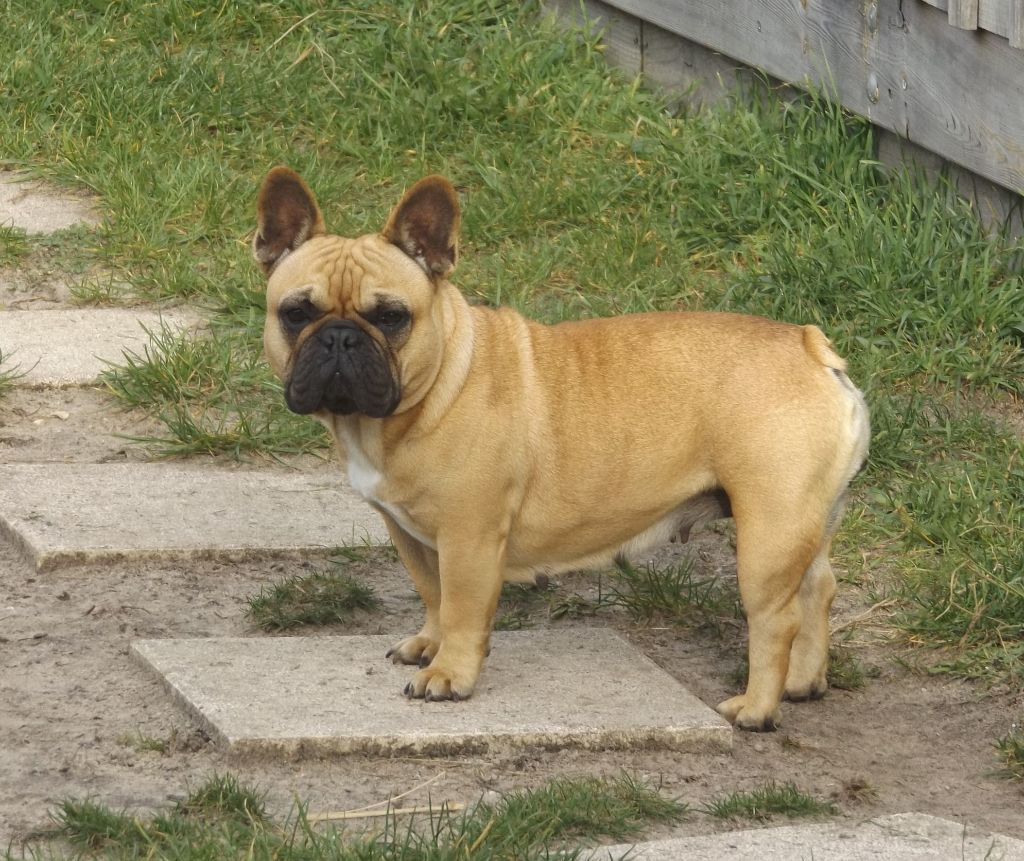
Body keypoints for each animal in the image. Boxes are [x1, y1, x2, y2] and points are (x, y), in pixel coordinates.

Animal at [254, 167, 870, 731]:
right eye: (296, 313)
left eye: (390, 317)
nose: (339, 338)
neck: (430, 392)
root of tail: (809, 346)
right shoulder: (409, 533)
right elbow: (432, 595)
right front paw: (429, 644)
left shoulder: (469, 537)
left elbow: (461, 608)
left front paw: (450, 674)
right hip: (805, 521)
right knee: (817, 588)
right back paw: (802, 682)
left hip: (768, 531)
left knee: (775, 620)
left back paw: (757, 707)